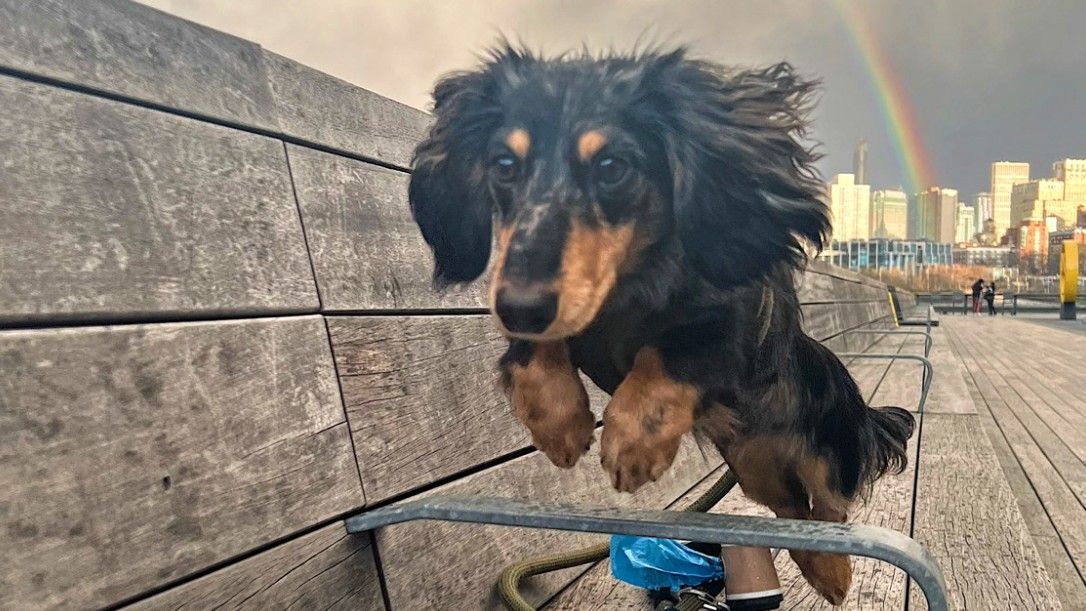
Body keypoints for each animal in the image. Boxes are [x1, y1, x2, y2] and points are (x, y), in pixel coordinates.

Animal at [408, 45, 916, 603]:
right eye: (503, 164)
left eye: (611, 165)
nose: (519, 307)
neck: (626, 283)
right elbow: (534, 354)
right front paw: (559, 423)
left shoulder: (731, 329)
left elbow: (666, 355)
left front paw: (633, 443)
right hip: (756, 467)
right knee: (791, 511)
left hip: (826, 445)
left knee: (829, 506)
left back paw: (832, 572)